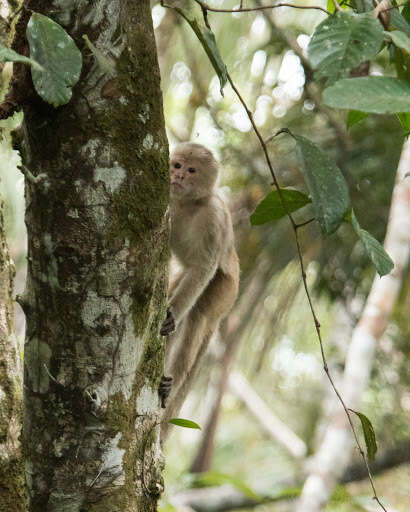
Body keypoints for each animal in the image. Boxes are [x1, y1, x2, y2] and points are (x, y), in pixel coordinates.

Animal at [159, 142, 239, 438]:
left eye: (192, 170)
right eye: (177, 165)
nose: (179, 175)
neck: (187, 203)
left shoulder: (213, 215)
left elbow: (204, 267)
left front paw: (172, 315)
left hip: (226, 291)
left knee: (198, 316)